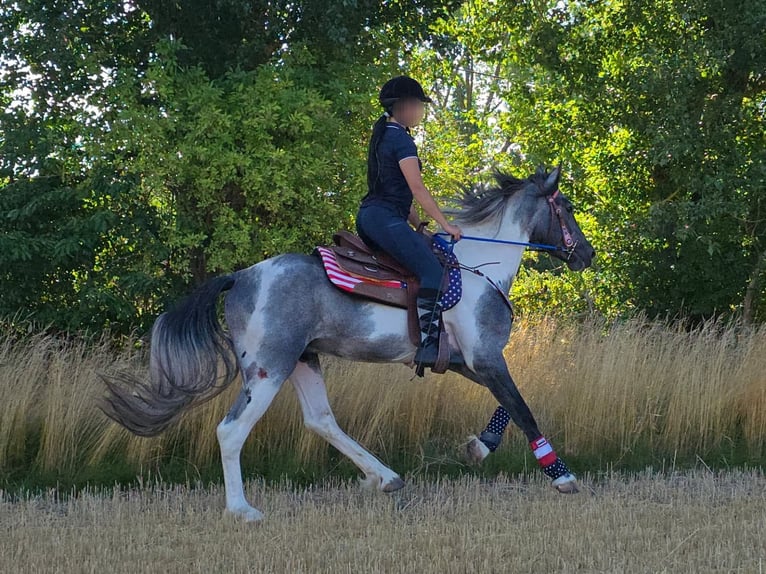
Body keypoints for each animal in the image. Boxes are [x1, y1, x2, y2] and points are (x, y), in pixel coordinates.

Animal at [101, 165, 595, 521]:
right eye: (566, 206)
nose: (587, 254)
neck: (481, 268)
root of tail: (240, 277)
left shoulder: (466, 361)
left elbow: (509, 404)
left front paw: (480, 447)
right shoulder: (486, 357)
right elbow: (522, 407)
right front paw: (562, 476)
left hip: (304, 359)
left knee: (321, 420)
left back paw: (385, 478)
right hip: (269, 367)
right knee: (232, 429)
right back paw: (242, 510)